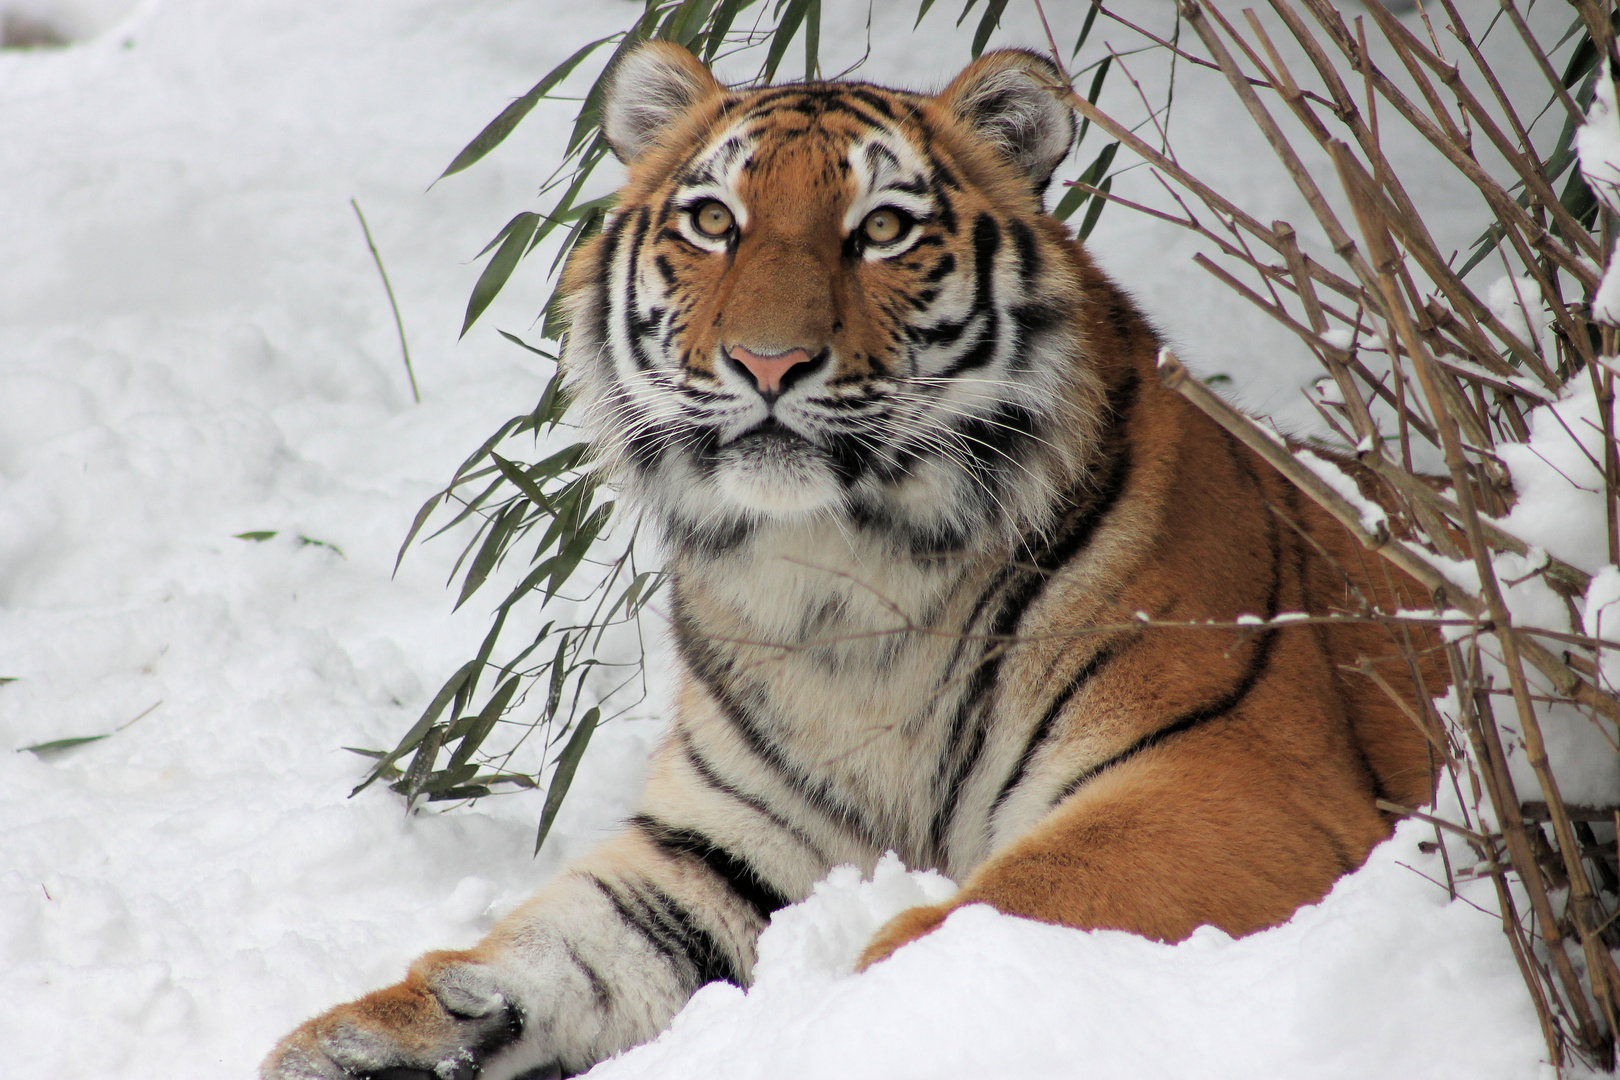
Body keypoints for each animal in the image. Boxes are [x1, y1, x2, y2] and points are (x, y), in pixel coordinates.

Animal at [265, 42, 1445, 1080]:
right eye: (713, 221)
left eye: (882, 229)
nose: (767, 361)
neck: (842, 570)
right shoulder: (722, 846)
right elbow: (557, 950)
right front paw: (366, 1041)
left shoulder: (1228, 779)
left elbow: (970, 921)